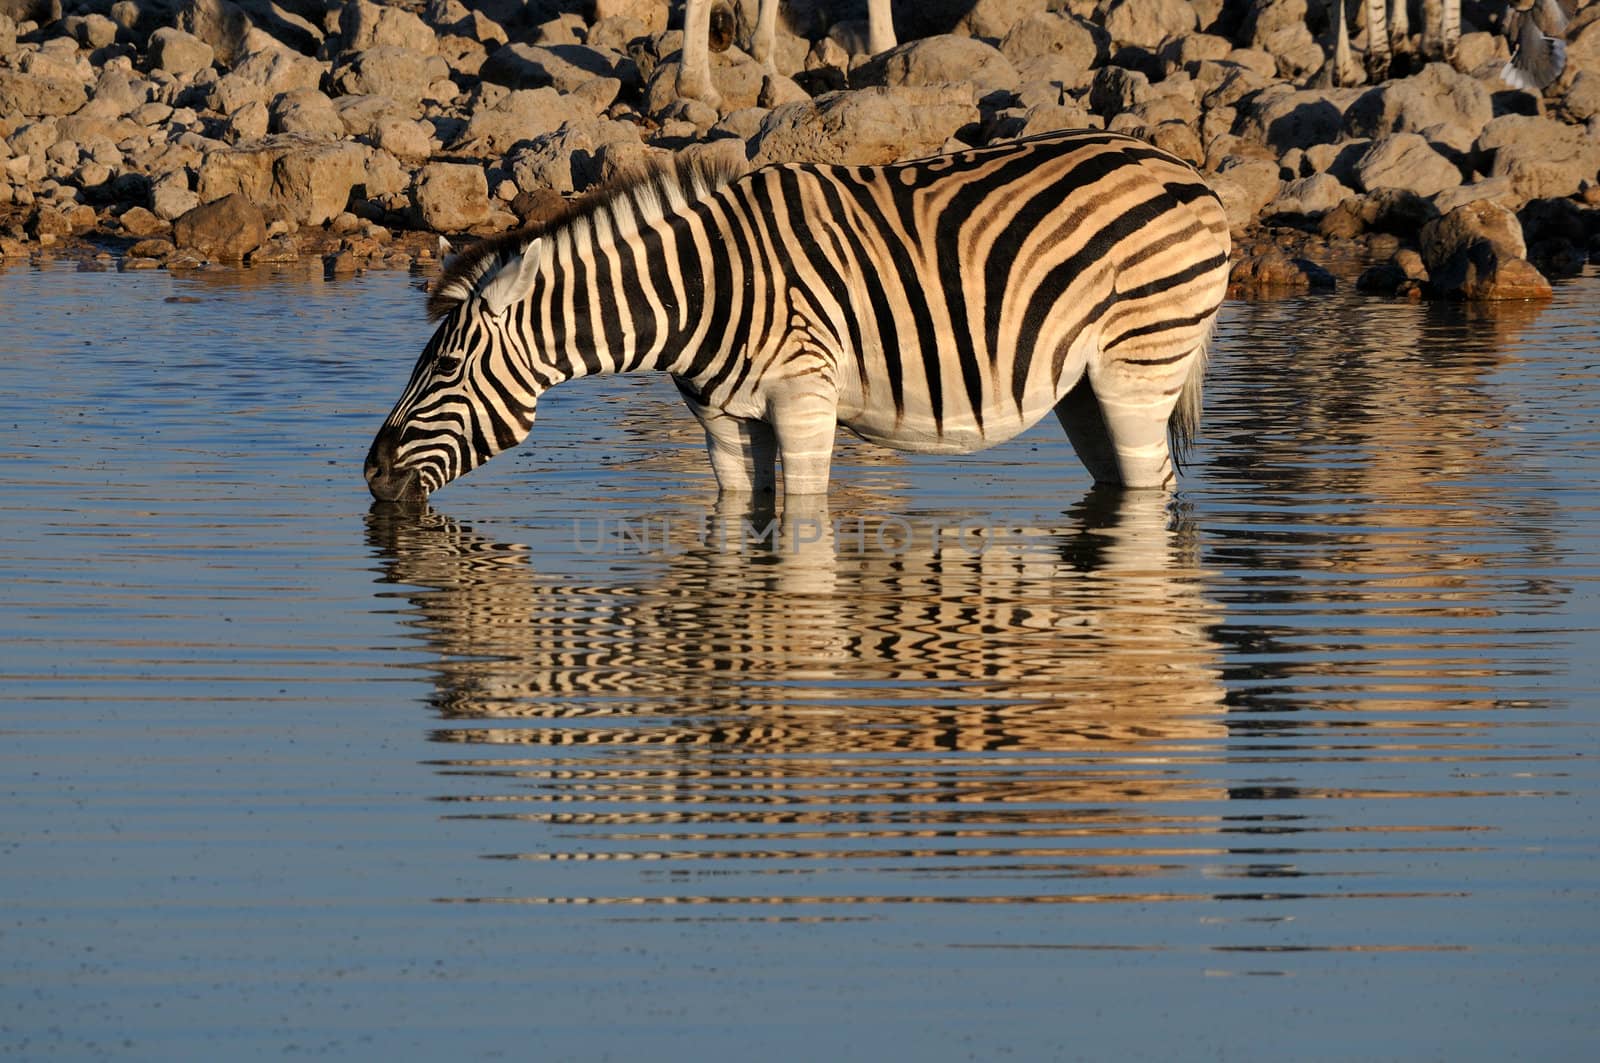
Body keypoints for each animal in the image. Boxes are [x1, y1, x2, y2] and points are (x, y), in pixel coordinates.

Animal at [363, 130, 1228, 509]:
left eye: (444, 367)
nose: (370, 473)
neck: (701, 288)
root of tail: (1188, 171)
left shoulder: (806, 401)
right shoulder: (722, 423)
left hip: (1138, 370)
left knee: (1153, 484)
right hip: (1084, 390)